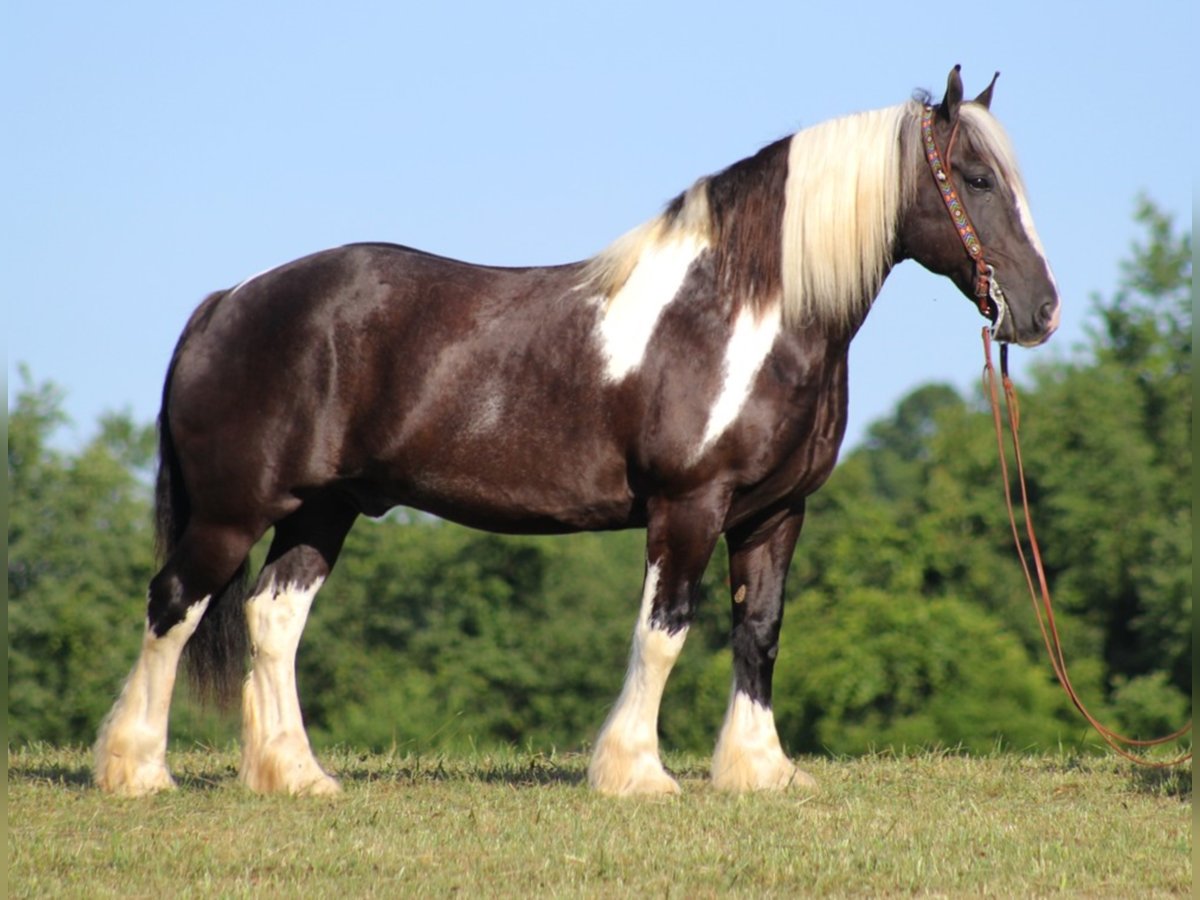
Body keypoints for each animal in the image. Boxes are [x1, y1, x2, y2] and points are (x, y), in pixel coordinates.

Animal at [93, 66, 1056, 796]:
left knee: (272, 619)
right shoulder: (689, 506)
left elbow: (760, 631)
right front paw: (637, 775)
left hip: (322, 508)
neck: (740, 313)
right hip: (234, 510)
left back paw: (296, 776)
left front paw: (759, 771)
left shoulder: (775, 513)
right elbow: (664, 630)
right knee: (173, 605)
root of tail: (230, 300)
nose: (1041, 310)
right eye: (976, 179)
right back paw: (137, 771)